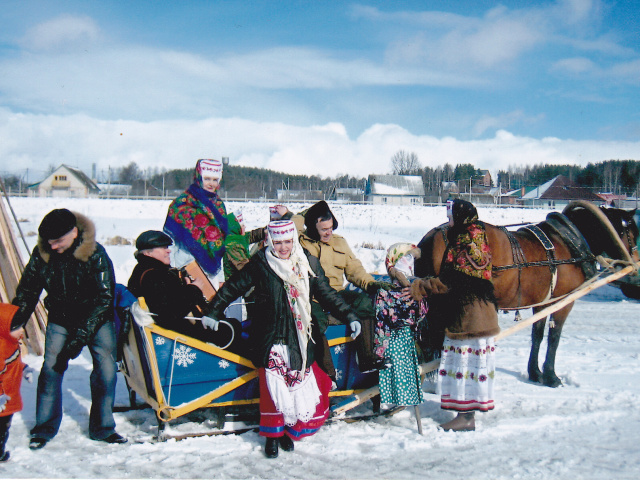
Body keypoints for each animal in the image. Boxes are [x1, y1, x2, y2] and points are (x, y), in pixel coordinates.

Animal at [412, 201, 636, 388]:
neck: (569, 242)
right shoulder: (564, 301)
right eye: (631, 231)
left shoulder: (543, 302)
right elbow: (554, 337)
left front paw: (535, 373)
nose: (634, 264)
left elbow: (537, 334)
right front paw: (551, 376)